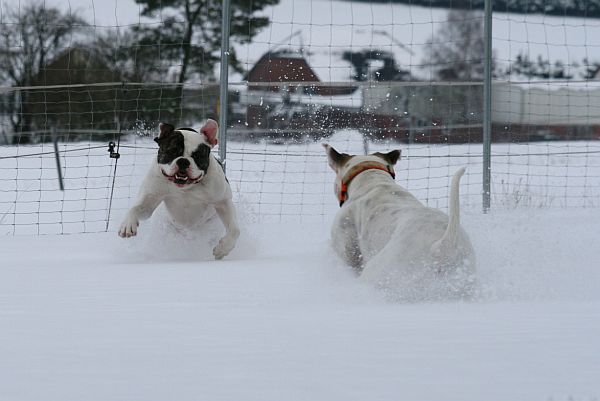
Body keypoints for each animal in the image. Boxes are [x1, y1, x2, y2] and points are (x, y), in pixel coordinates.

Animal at [119, 119, 239, 260]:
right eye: (171, 151)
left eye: (197, 155)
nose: (183, 161)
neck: (185, 188)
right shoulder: (149, 200)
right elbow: (136, 208)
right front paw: (127, 225)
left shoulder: (222, 201)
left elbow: (235, 230)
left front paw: (223, 249)